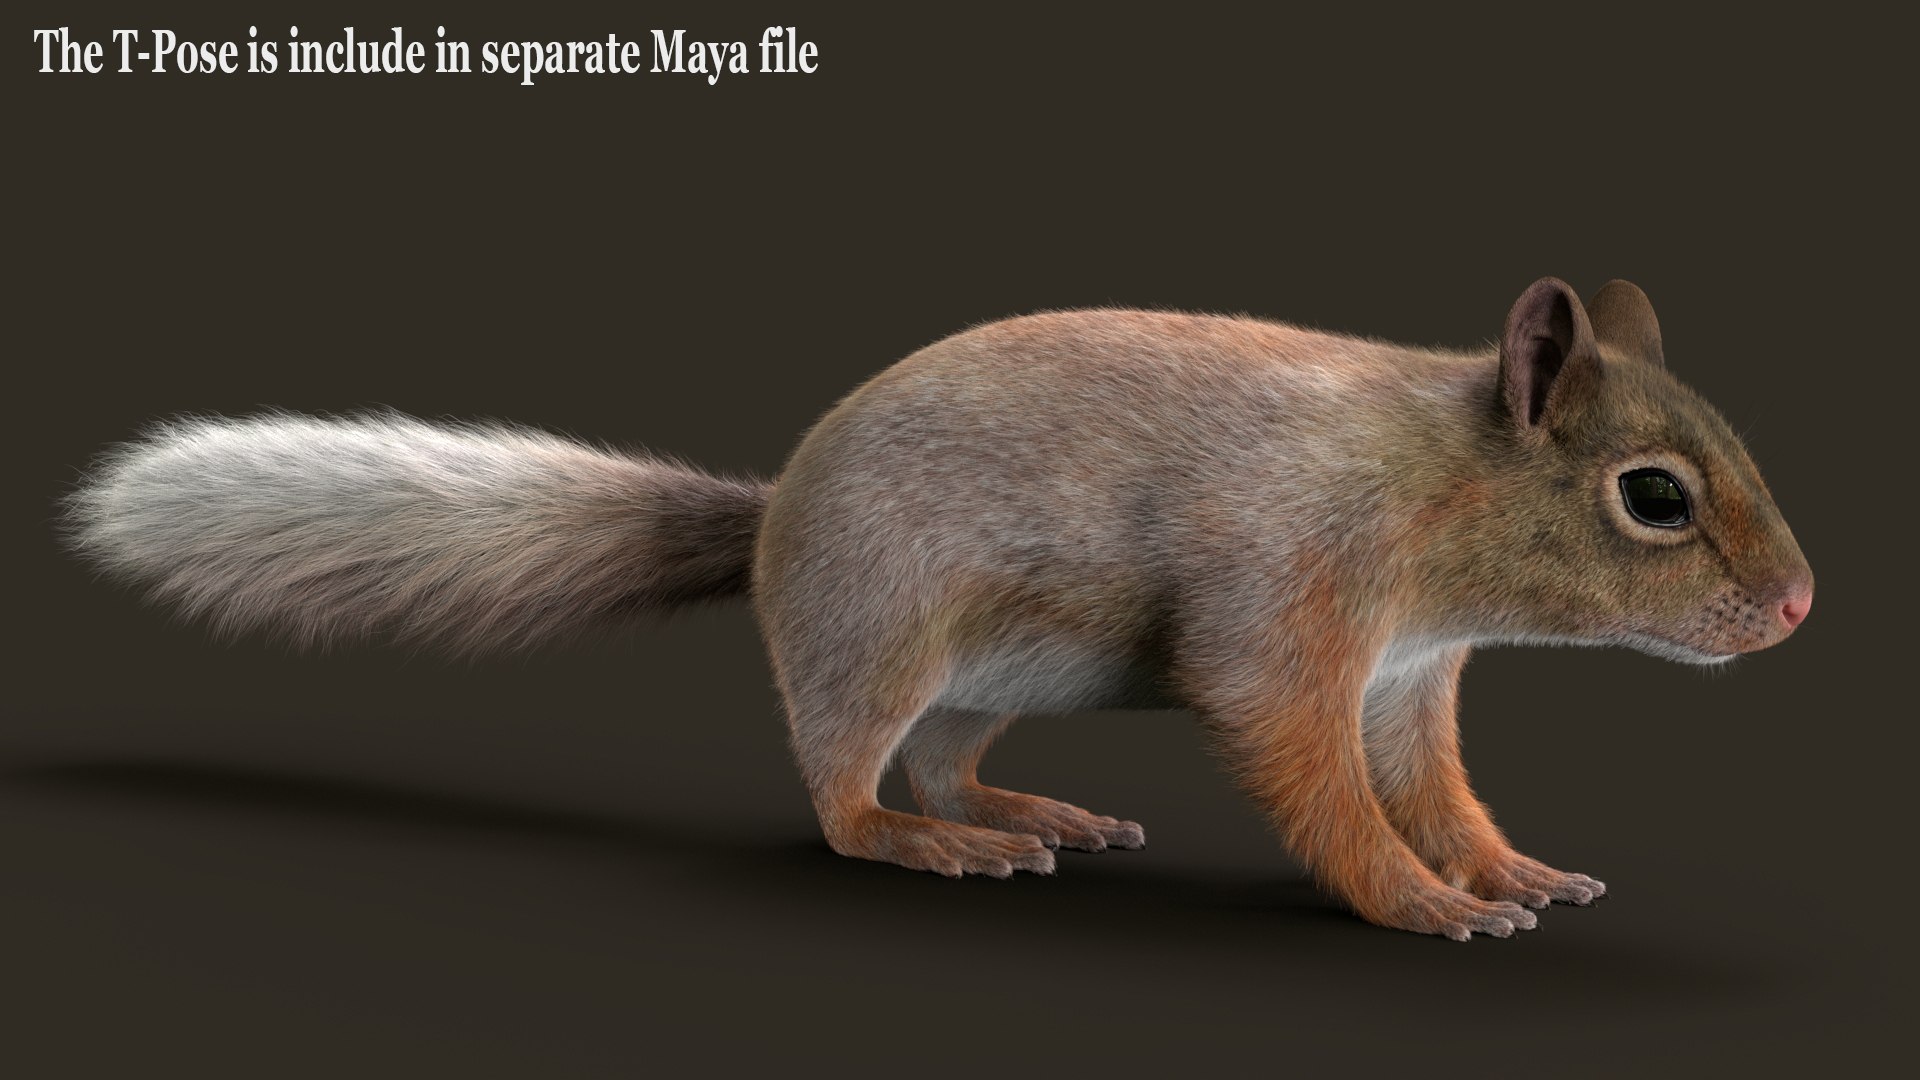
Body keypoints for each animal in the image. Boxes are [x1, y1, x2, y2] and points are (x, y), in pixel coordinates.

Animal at [64, 277, 1813, 940]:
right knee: (852, 797)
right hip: (882, 636)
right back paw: (938, 847)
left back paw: (1030, 810)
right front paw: (1420, 903)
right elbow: (1316, 779)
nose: (1798, 606)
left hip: (988, 677)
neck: (1429, 488)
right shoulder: (1290, 609)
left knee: (943, 761)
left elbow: (1436, 790)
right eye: (1655, 496)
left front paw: (1505, 867)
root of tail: (777, 523)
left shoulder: (1411, 675)